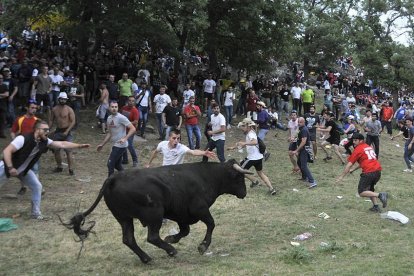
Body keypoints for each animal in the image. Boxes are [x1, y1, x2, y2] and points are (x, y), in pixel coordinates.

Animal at [61, 160, 251, 264]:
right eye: (240, 177)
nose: (244, 192)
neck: (207, 176)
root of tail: (114, 178)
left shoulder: (181, 214)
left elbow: (185, 230)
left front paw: (172, 238)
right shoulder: (199, 209)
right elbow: (211, 224)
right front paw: (202, 246)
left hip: (124, 217)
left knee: (128, 239)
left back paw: (147, 258)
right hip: (154, 215)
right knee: (151, 237)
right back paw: (170, 251)